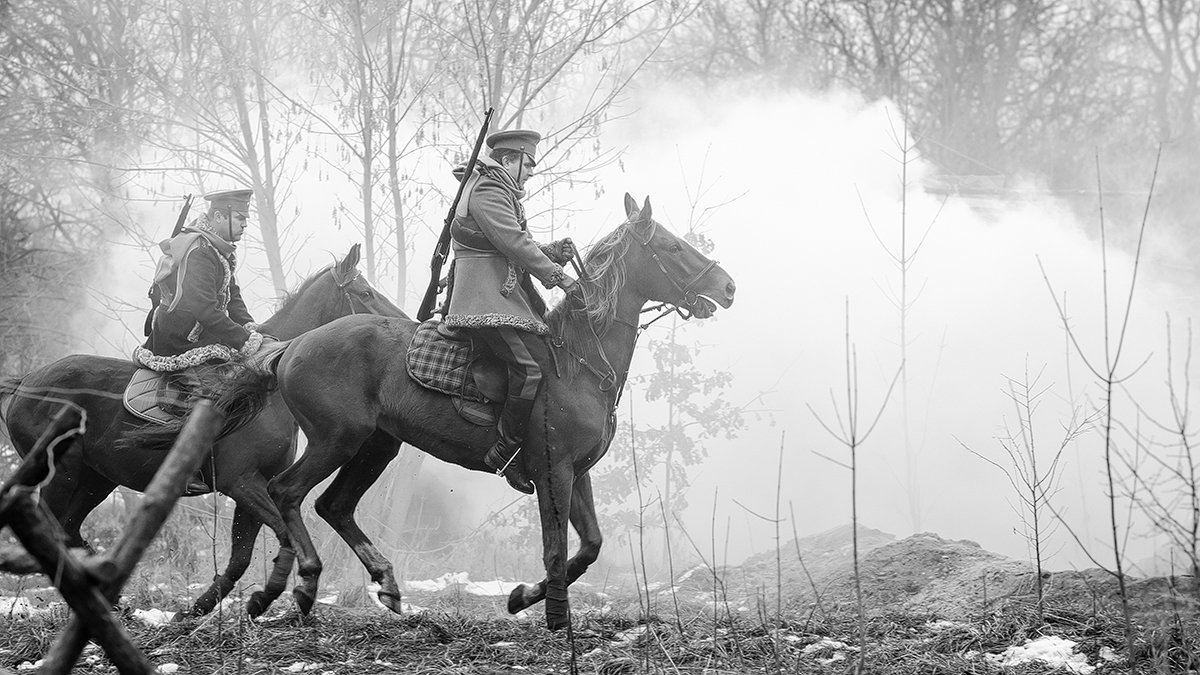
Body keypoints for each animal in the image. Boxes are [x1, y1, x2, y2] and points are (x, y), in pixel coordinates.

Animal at [0, 243, 408, 619]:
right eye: (365, 293)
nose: (402, 324)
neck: (267, 381)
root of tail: (26, 383)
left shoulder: (254, 486)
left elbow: (242, 556)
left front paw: (203, 607)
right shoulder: (242, 483)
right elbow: (283, 533)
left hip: (95, 480)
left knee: (69, 530)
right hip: (63, 473)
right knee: (55, 528)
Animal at [205, 193, 729, 624]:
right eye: (673, 247)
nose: (728, 287)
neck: (580, 362)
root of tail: (292, 346)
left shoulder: (578, 472)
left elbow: (590, 548)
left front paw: (522, 597)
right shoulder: (554, 471)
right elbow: (556, 550)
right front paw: (555, 619)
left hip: (377, 446)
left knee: (333, 505)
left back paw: (380, 584)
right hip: (336, 440)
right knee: (286, 492)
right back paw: (299, 583)